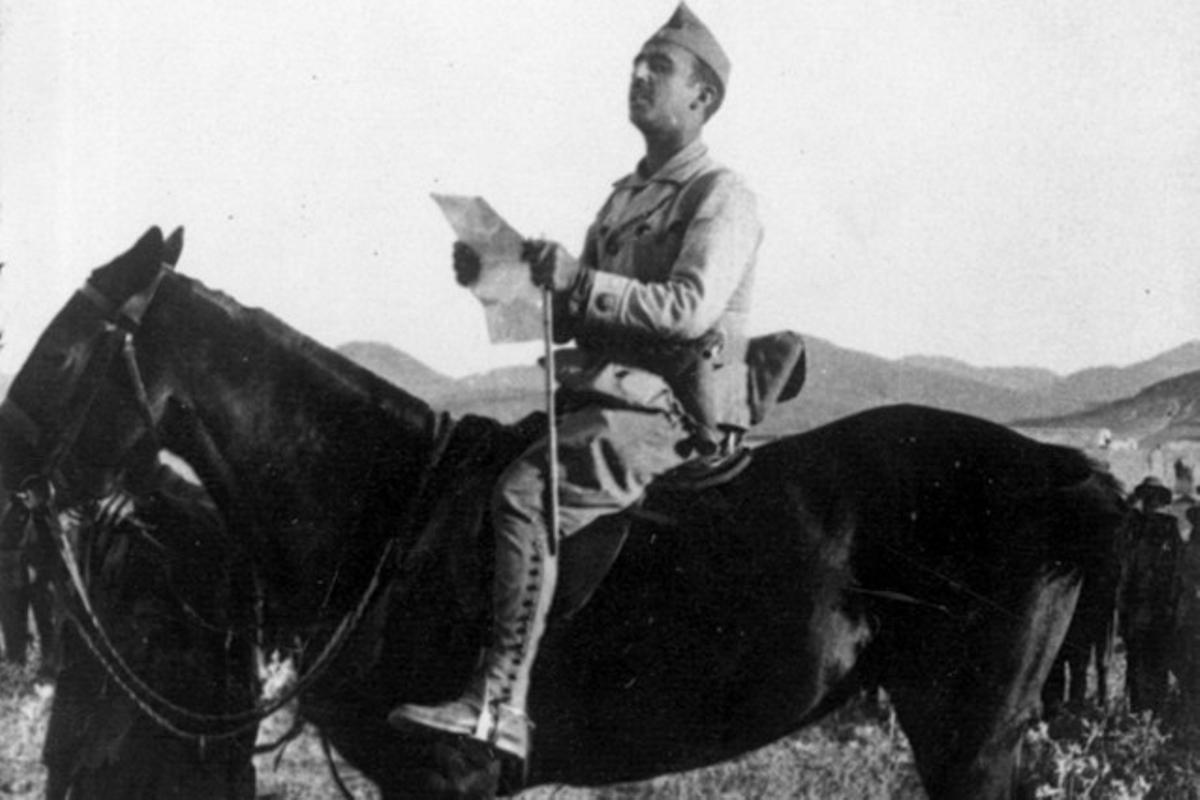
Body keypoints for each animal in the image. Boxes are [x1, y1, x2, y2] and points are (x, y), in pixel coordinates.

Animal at [0, 227, 1123, 796]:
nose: (9, 484)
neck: (385, 509)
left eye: (60, 349)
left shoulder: (446, 782)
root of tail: (1064, 470)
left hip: (969, 740)